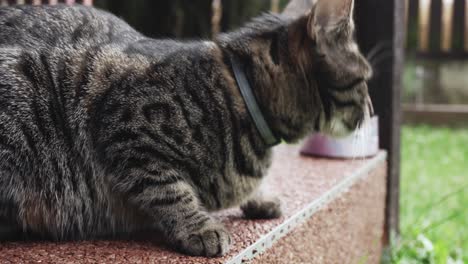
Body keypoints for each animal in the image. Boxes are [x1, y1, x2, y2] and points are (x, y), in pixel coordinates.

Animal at [0, 0, 372, 256]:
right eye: (365, 80)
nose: (371, 109)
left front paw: (261, 197)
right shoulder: (127, 124)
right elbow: (169, 188)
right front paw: (199, 228)